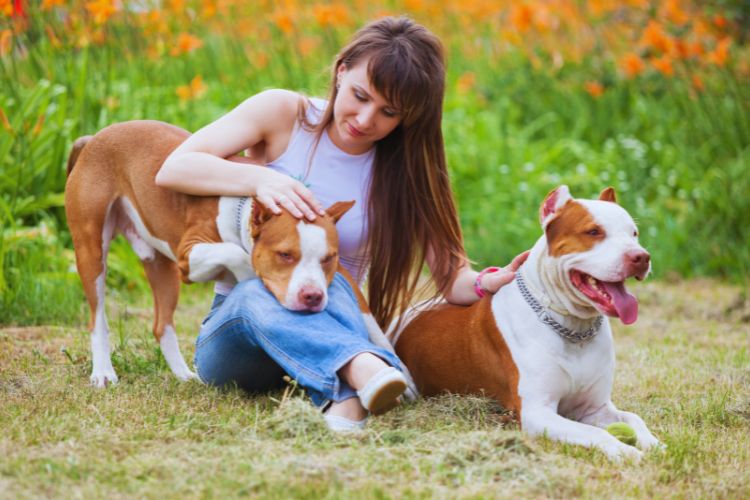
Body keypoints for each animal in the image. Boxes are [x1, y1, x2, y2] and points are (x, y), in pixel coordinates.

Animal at [66, 119, 400, 388]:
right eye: (285, 255)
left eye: (328, 258)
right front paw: (246, 276)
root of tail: (94, 138)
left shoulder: (340, 271)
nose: (313, 296)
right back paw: (103, 372)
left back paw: (185, 375)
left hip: (159, 264)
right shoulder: (189, 256)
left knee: (162, 324)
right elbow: (235, 253)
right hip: (91, 250)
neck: (246, 208)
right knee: (97, 317)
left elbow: (367, 314)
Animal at [394, 185, 664, 460]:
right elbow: (594, 432)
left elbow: (633, 418)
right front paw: (624, 451)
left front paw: (653, 443)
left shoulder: (594, 407)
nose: (641, 257)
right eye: (593, 232)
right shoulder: (536, 412)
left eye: (634, 233)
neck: (573, 327)